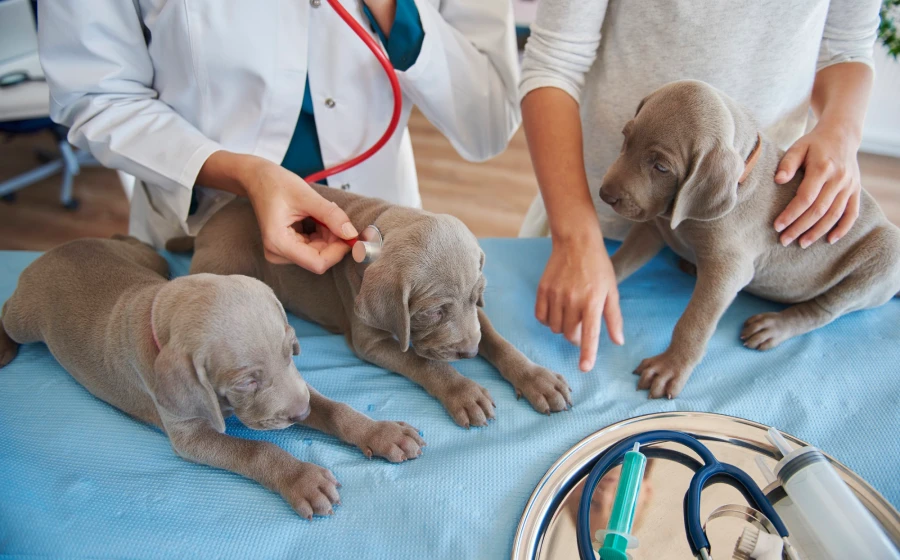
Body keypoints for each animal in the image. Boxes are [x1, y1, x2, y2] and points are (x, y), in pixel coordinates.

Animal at [0, 234, 426, 520]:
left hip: (143, 260)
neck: (160, 308)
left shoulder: (300, 386)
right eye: (246, 381)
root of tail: (57, 249)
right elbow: (257, 450)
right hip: (25, 319)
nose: (300, 415)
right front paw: (301, 478)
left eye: (292, 350)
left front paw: (381, 433)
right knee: (6, 313)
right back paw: (4, 347)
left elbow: (336, 409)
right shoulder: (189, 435)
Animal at [179, 186, 572, 426]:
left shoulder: (477, 317)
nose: (469, 353)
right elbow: (424, 363)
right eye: (433, 312)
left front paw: (537, 379)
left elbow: (497, 340)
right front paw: (464, 392)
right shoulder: (371, 343)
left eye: (477, 297)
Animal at [596, 81, 900, 400]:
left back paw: (774, 326)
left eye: (661, 167)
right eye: (626, 138)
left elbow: (695, 321)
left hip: (883, 257)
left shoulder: (728, 271)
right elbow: (620, 261)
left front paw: (670, 367)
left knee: (824, 309)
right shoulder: (653, 227)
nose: (605, 195)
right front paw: (595, 286)